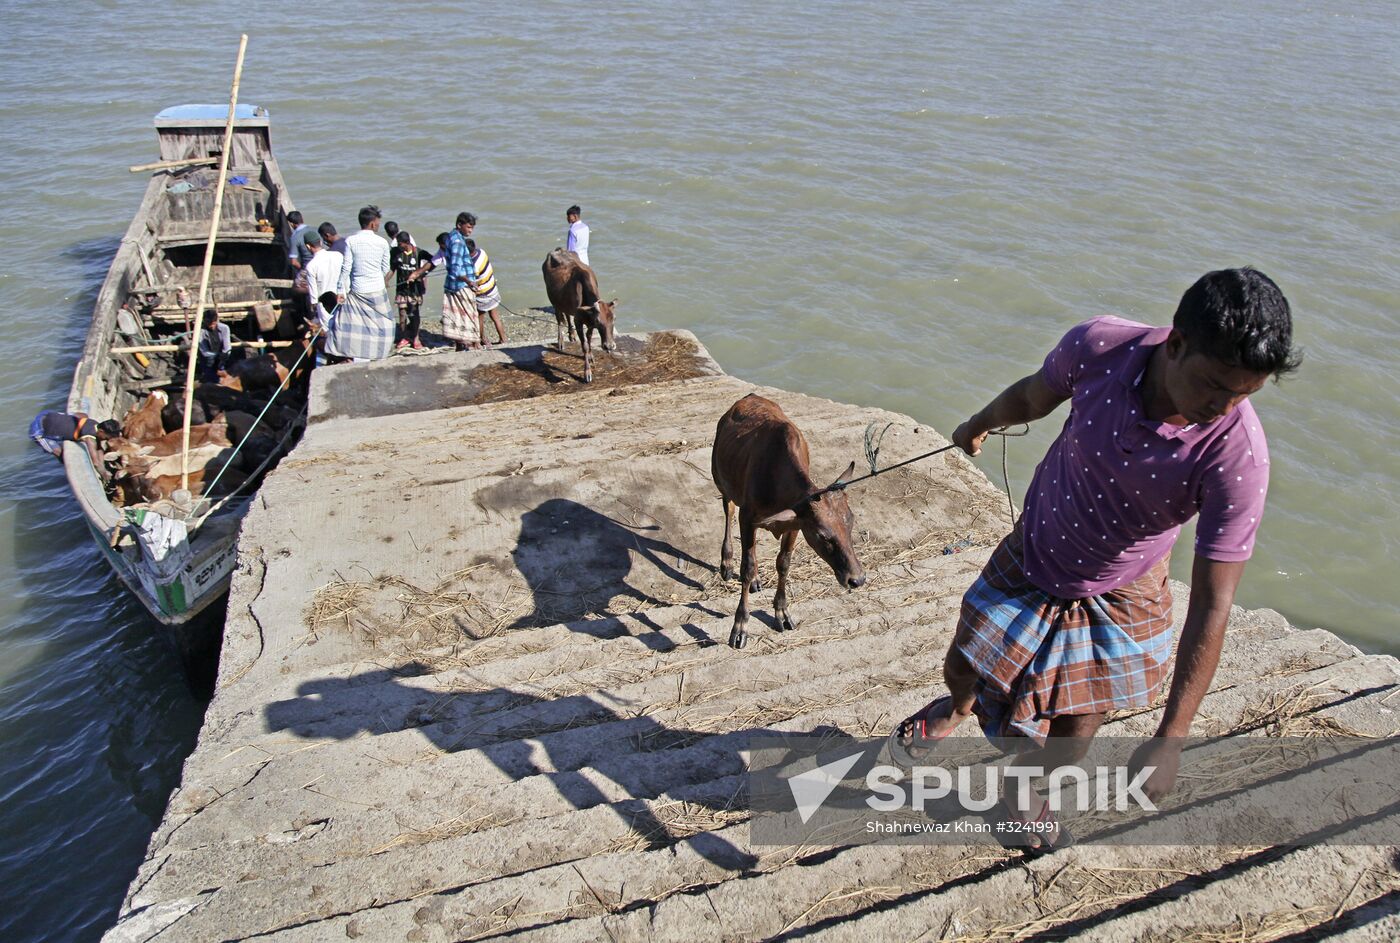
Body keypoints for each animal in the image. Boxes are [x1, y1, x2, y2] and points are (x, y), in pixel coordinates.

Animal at [540, 249, 618, 386]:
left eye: (613, 319)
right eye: (598, 321)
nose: (609, 346)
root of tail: (557, 250)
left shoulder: (588, 322)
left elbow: (589, 338)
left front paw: (591, 356)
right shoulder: (579, 321)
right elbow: (584, 345)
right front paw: (587, 373)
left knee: (566, 315)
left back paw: (571, 335)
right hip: (554, 301)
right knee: (559, 319)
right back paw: (561, 341)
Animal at [711, 391, 862, 646]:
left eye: (850, 521)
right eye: (822, 534)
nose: (857, 579)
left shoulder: (795, 524)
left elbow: (783, 563)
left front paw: (781, 613)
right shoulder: (747, 517)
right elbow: (747, 566)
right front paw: (740, 627)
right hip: (722, 481)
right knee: (728, 510)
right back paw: (727, 564)